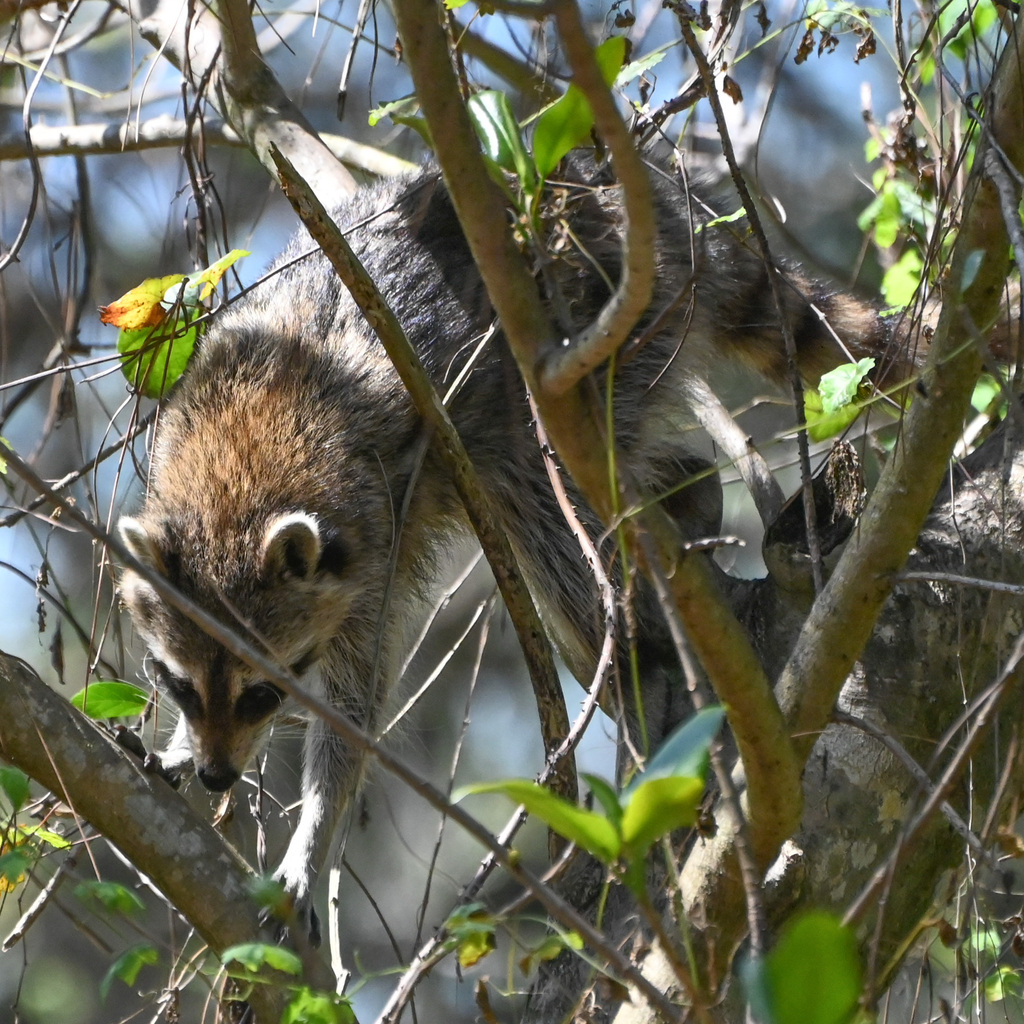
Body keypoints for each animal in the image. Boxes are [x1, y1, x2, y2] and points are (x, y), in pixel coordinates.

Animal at [117, 156, 900, 938]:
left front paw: (312, 837)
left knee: (548, 504)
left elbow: (357, 705)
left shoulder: (374, 539)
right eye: (178, 683)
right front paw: (182, 746)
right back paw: (690, 491)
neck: (236, 482)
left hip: (602, 337)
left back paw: (639, 652)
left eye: (264, 692)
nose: (219, 773)